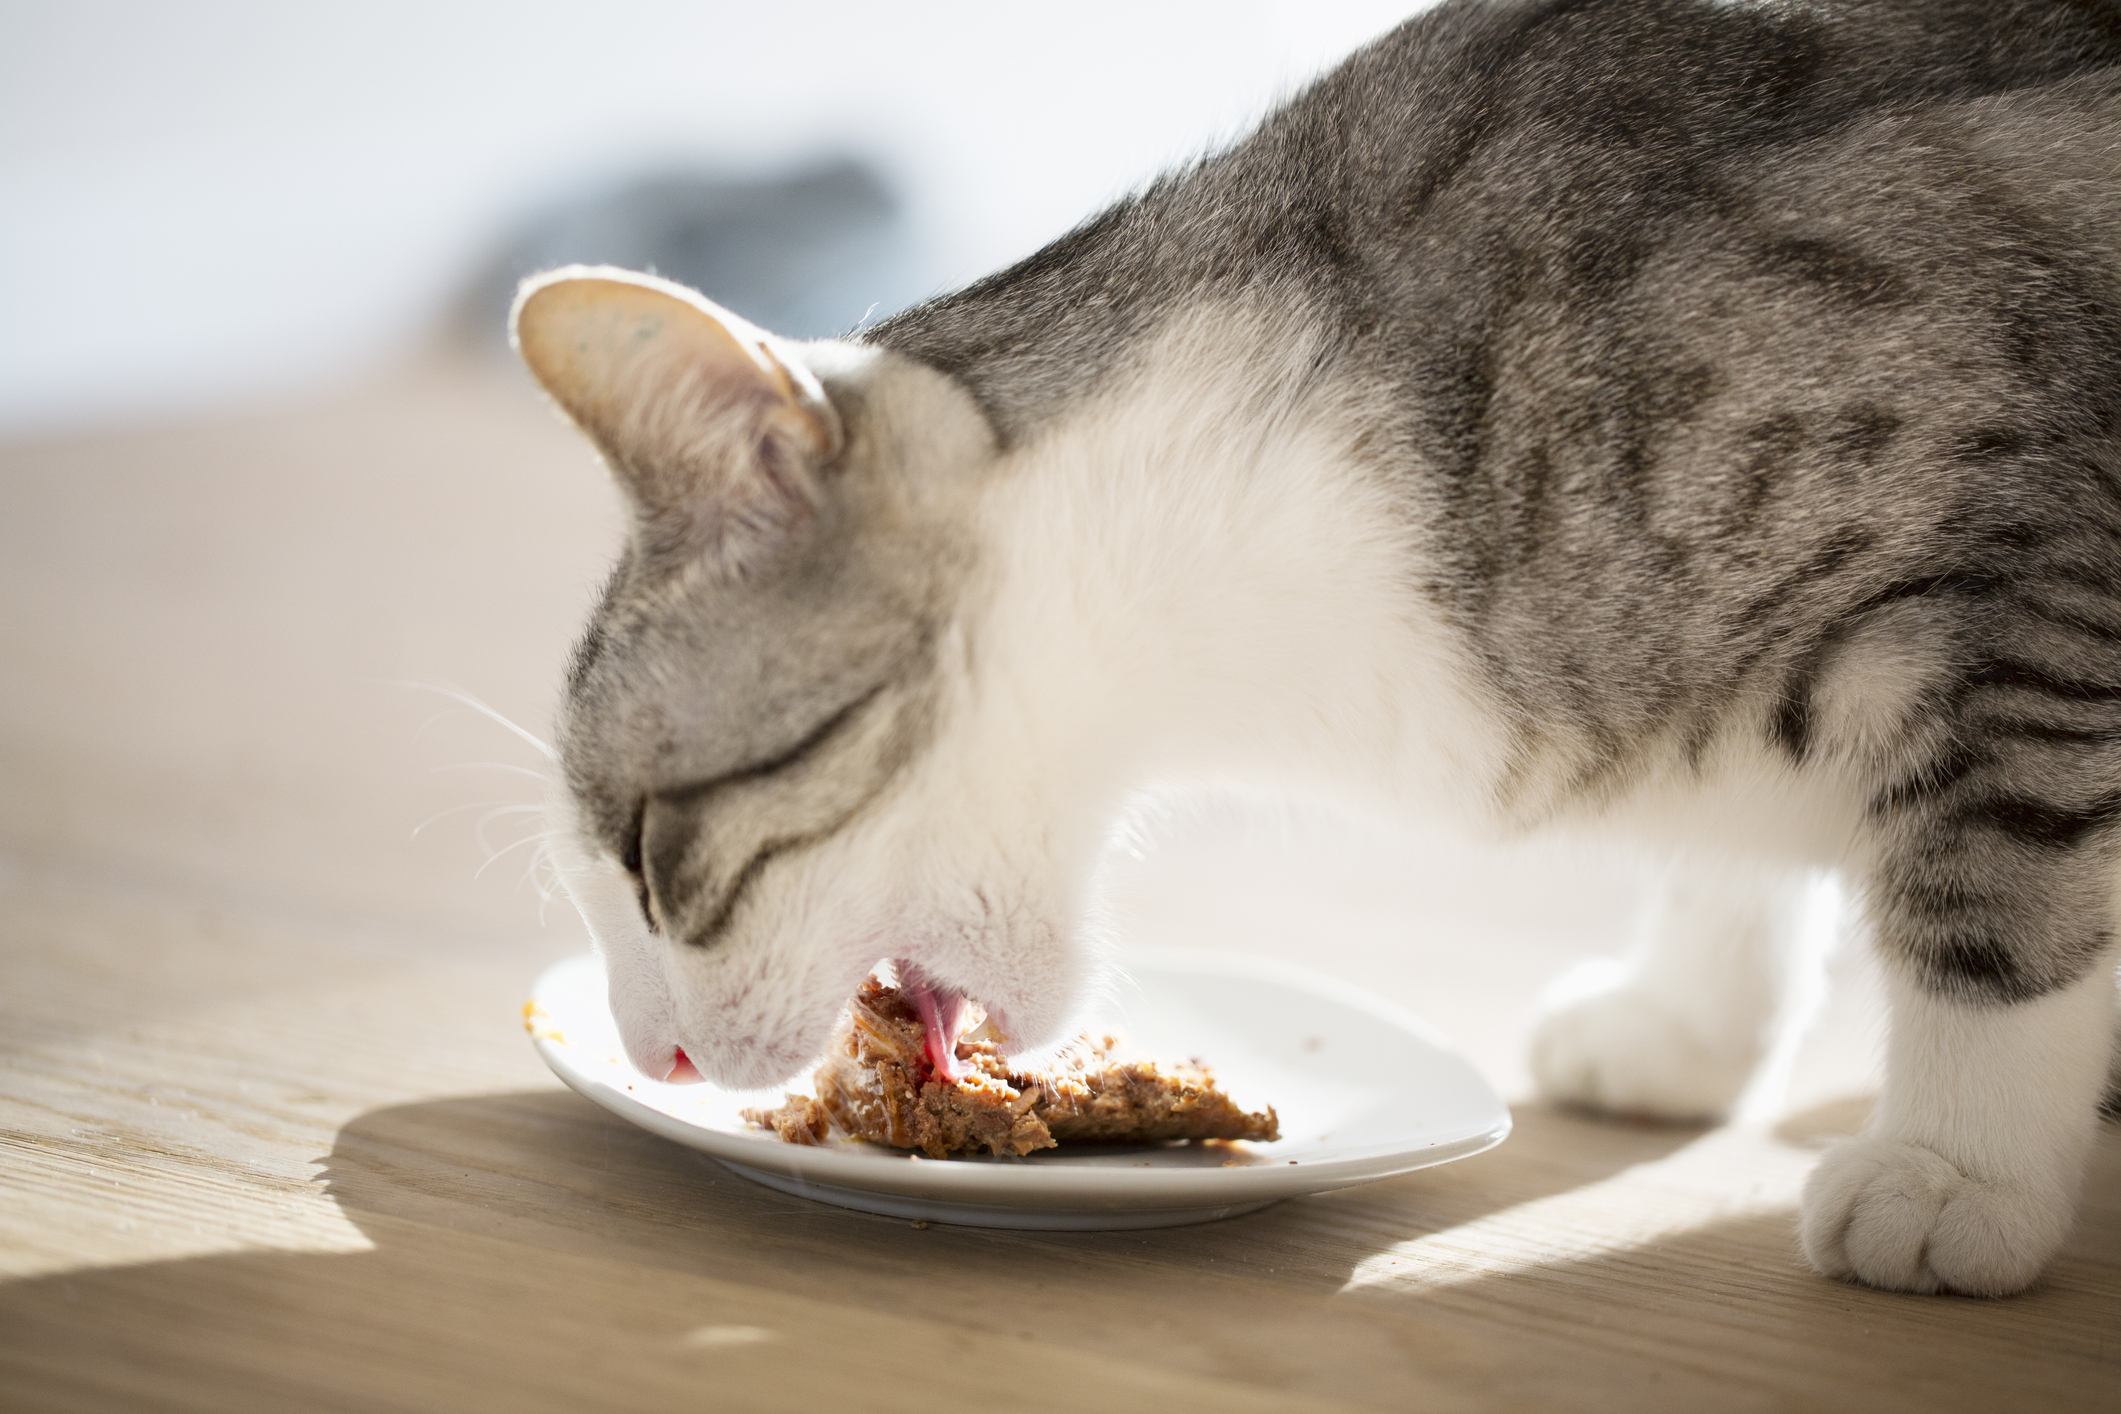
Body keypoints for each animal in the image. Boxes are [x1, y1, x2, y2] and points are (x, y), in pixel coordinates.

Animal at [509, 0, 2121, 1297]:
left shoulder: (2039, 572)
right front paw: (1692, 1018)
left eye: (647, 850)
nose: (650, 1049)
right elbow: (1728, 864)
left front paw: (1957, 1164)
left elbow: (1997, 884)